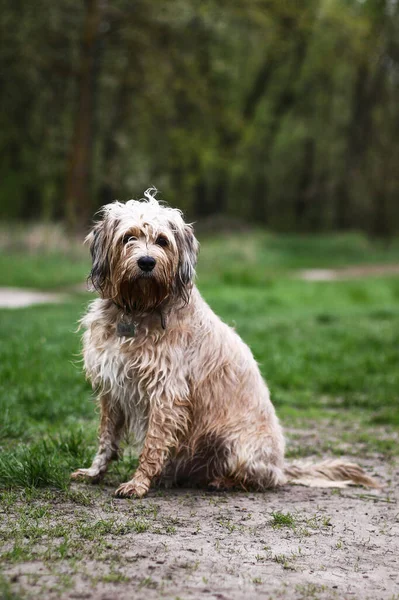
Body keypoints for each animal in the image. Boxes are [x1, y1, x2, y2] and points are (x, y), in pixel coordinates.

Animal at [70, 189, 380, 496]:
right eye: (128, 237)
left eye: (162, 241)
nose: (147, 262)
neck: (137, 309)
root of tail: (281, 465)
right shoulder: (112, 387)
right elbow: (106, 438)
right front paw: (94, 473)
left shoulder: (166, 393)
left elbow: (153, 444)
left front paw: (138, 482)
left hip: (233, 444)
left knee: (263, 479)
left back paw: (221, 481)